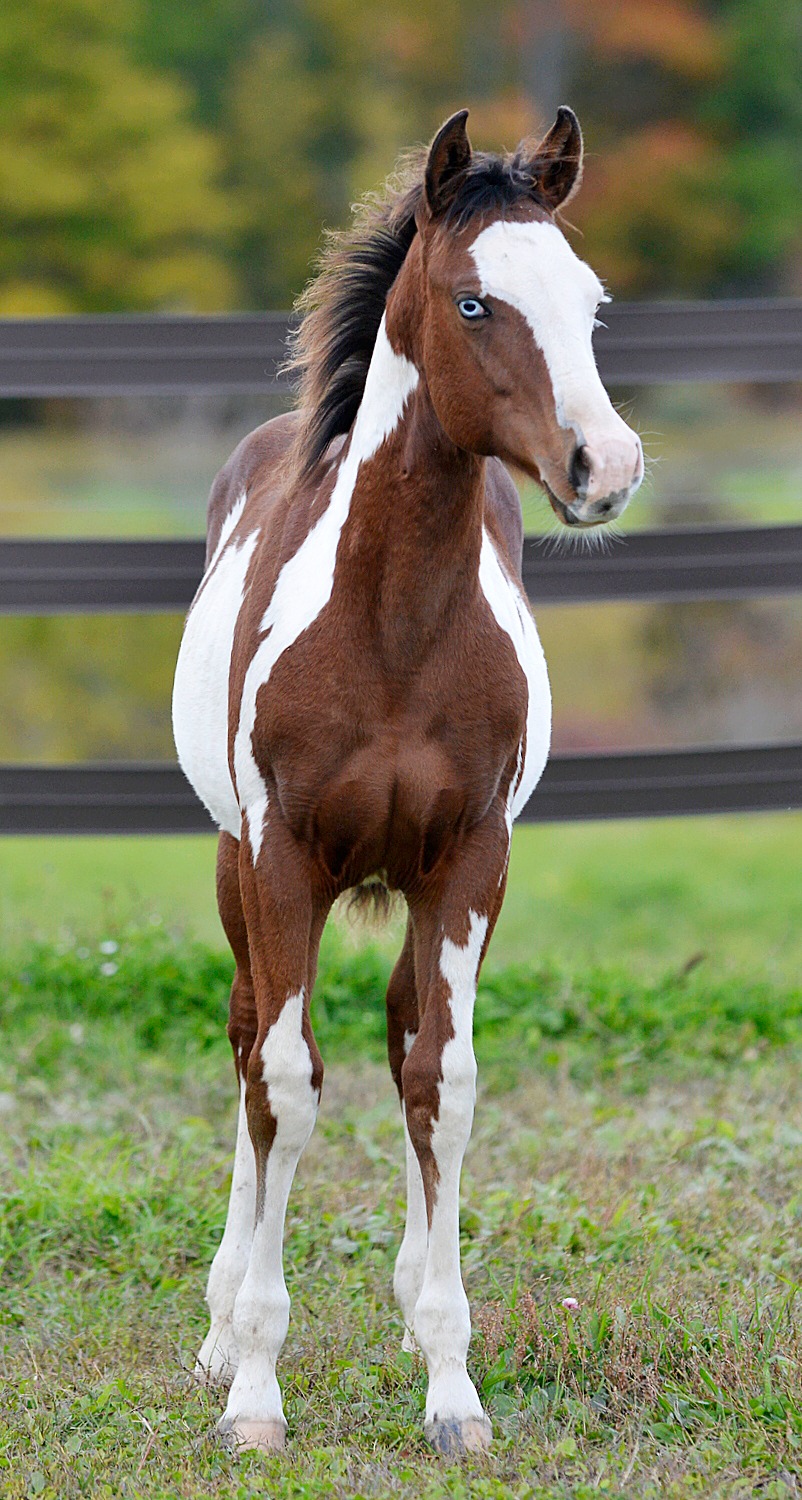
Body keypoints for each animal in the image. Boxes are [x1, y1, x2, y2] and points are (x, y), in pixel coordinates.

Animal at [172, 102, 644, 1452]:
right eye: (474, 302)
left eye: (589, 303)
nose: (605, 466)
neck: (387, 626)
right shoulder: (282, 858)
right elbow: (284, 1082)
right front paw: (256, 1393)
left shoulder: (469, 862)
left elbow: (443, 1080)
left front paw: (452, 1387)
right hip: (235, 870)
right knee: (248, 1044)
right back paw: (217, 1335)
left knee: (394, 1043)